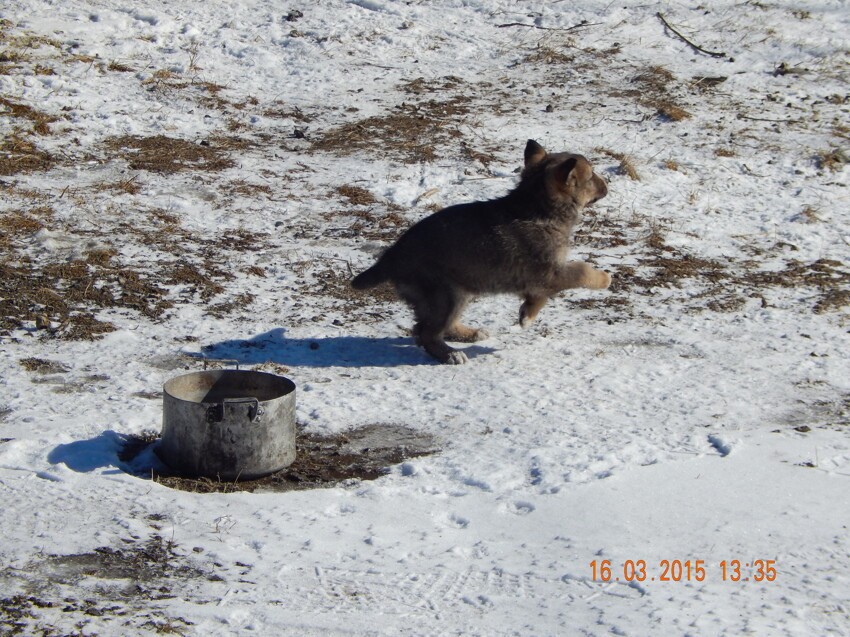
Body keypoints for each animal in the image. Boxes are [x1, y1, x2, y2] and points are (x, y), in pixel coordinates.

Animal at [352, 139, 608, 362]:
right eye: (591, 176)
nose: (607, 186)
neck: (537, 207)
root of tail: (392, 256)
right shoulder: (550, 273)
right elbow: (583, 271)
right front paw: (605, 278)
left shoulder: (541, 278)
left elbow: (538, 298)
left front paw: (526, 316)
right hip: (444, 294)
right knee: (425, 333)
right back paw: (450, 355)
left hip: (459, 291)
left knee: (435, 326)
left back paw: (469, 334)